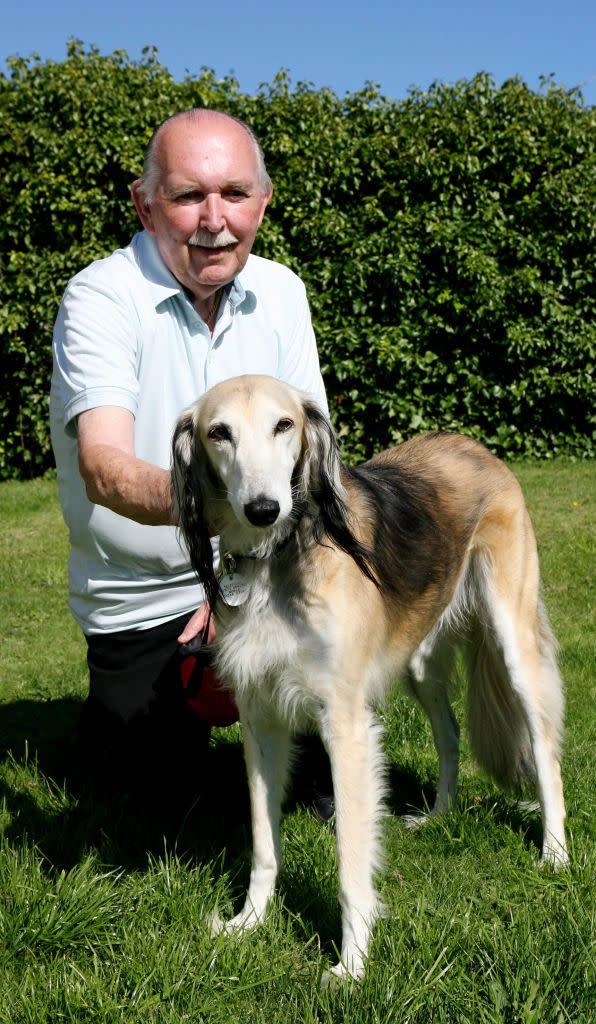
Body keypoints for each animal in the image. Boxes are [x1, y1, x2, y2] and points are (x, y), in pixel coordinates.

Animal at [172, 372, 569, 978]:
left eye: (283, 424)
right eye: (219, 433)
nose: (263, 508)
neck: (276, 561)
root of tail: (472, 444)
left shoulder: (346, 725)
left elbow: (350, 861)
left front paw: (352, 965)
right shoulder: (260, 720)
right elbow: (264, 843)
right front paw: (250, 922)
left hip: (513, 640)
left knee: (544, 746)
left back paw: (555, 852)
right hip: (421, 663)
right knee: (450, 734)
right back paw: (438, 817)